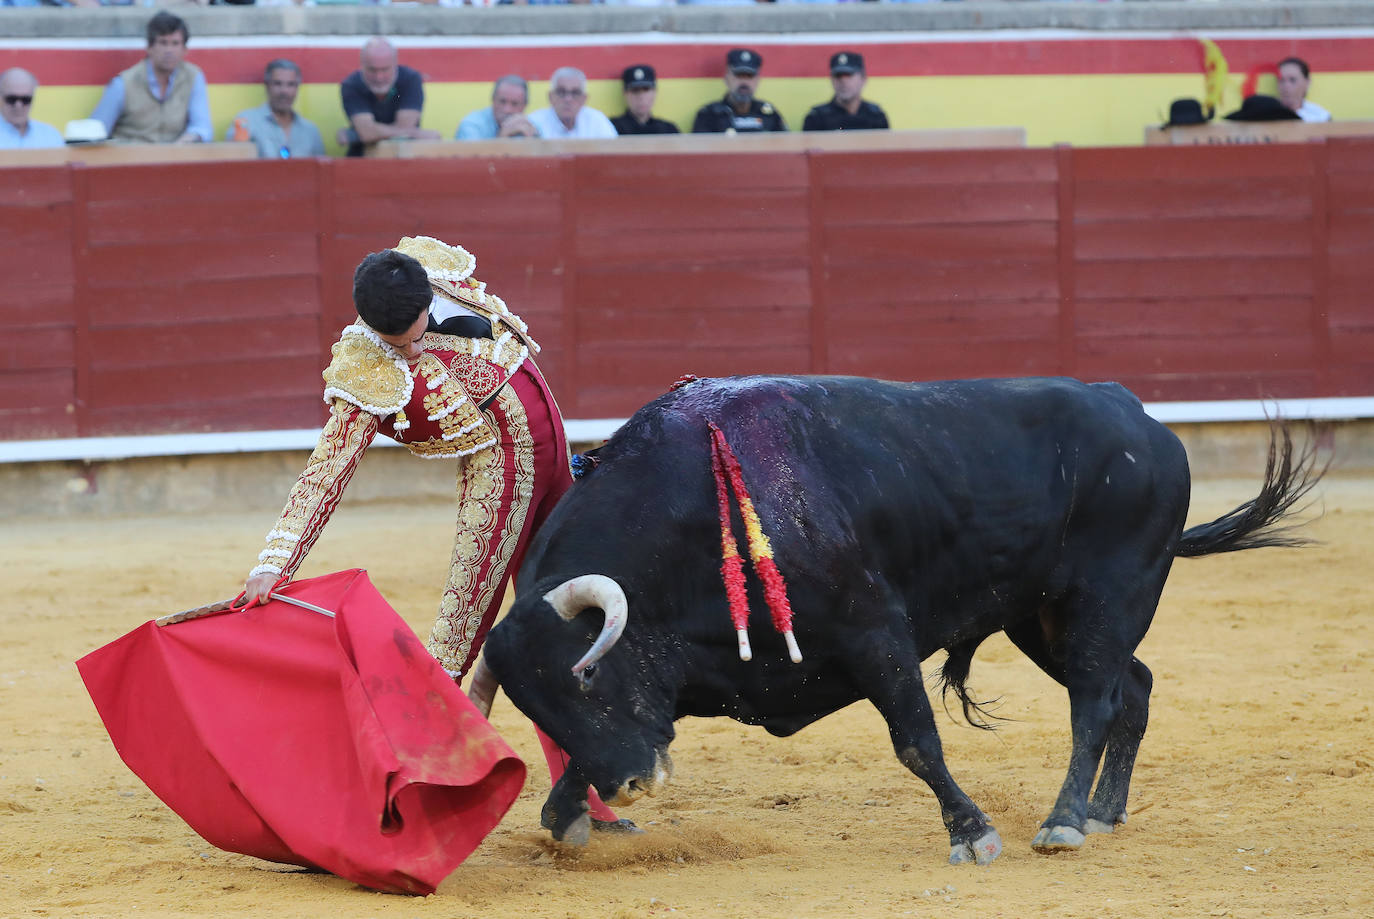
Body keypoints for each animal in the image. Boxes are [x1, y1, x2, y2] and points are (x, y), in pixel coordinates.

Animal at [475, 373, 1319, 862]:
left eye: (585, 678)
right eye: (537, 703)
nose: (625, 786)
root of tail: (1141, 418)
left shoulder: (876, 634)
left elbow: (917, 740)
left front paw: (973, 831)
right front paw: (565, 813)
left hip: (1104, 601)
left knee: (1095, 702)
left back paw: (1063, 821)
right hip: (1040, 617)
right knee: (1133, 687)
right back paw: (1103, 813)